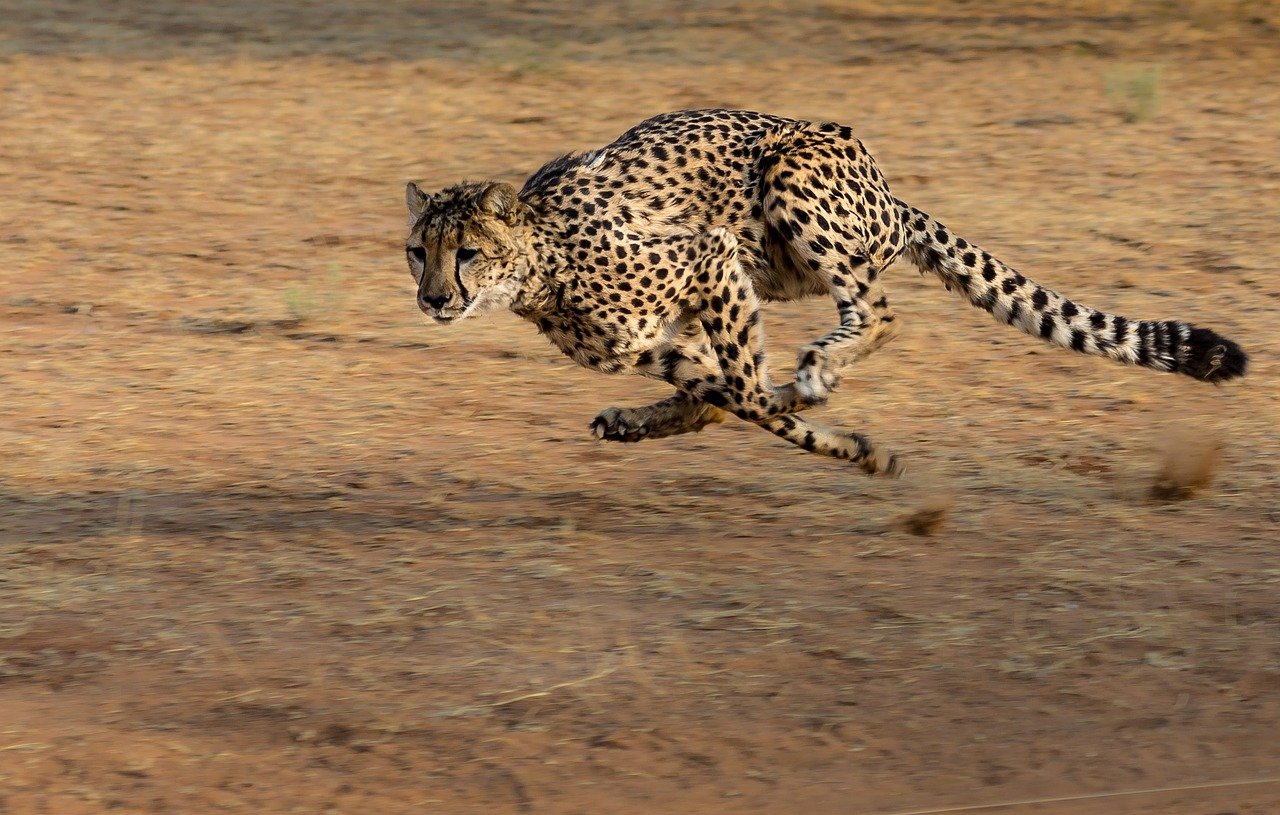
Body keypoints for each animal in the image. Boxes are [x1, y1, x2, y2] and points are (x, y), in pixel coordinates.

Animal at [404, 109, 1247, 477]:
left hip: (789, 183)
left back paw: (817, 369)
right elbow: (728, 397)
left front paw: (842, 434)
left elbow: (749, 393)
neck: (539, 264)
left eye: (466, 252)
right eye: (418, 252)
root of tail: (888, 190)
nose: (433, 299)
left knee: (877, 311)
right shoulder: (659, 339)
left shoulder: (708, 256)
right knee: (727, 391)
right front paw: (849, 443)